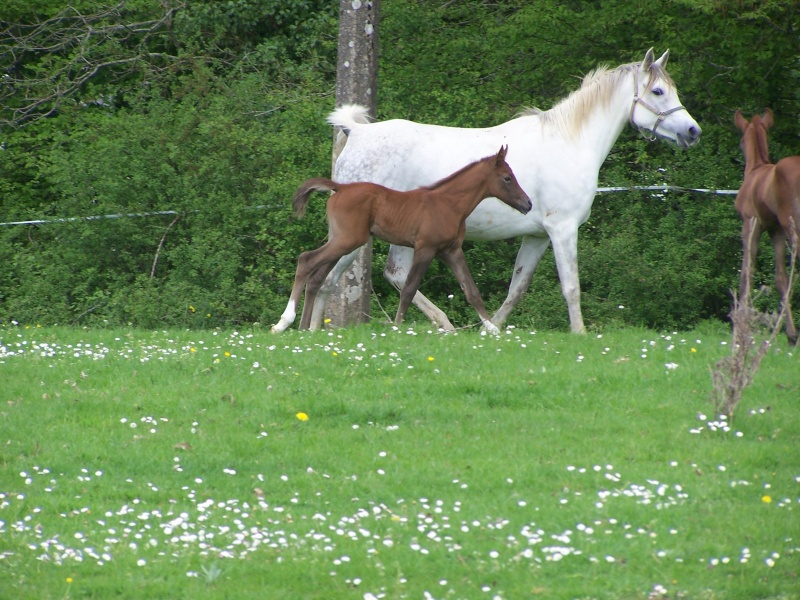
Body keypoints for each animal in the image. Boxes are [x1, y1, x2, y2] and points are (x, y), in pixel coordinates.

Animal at [274, 145, 532, 332]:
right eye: (507, 178)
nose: (527, 204)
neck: (448, 204)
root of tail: (340, 188)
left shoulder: (451, 250)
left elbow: (471, 290)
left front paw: (492, 330)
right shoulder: (425, 248)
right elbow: (408, 289)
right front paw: (397, 327)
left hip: (342, 241)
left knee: (316, 276)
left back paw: (305, 328)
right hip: (348, 240)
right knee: (306, 260)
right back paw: (284, 322)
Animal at [308, 49, 700, 332]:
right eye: (658, 91)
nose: (693, 131)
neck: (569, 142)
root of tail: (358, 133)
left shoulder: (538, 236)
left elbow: (517, 288)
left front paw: (489, 329)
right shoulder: (563, 230)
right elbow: (571, 286)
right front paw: (580, 334)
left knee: (388, 275)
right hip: (359, 237)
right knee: (330, 277)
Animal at [736, 108, 796, 342]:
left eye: (741, 141)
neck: (756, 168)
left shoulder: (750, 225)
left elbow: (747, 274)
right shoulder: (775, 230)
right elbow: (781, 279)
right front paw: (791, 334)